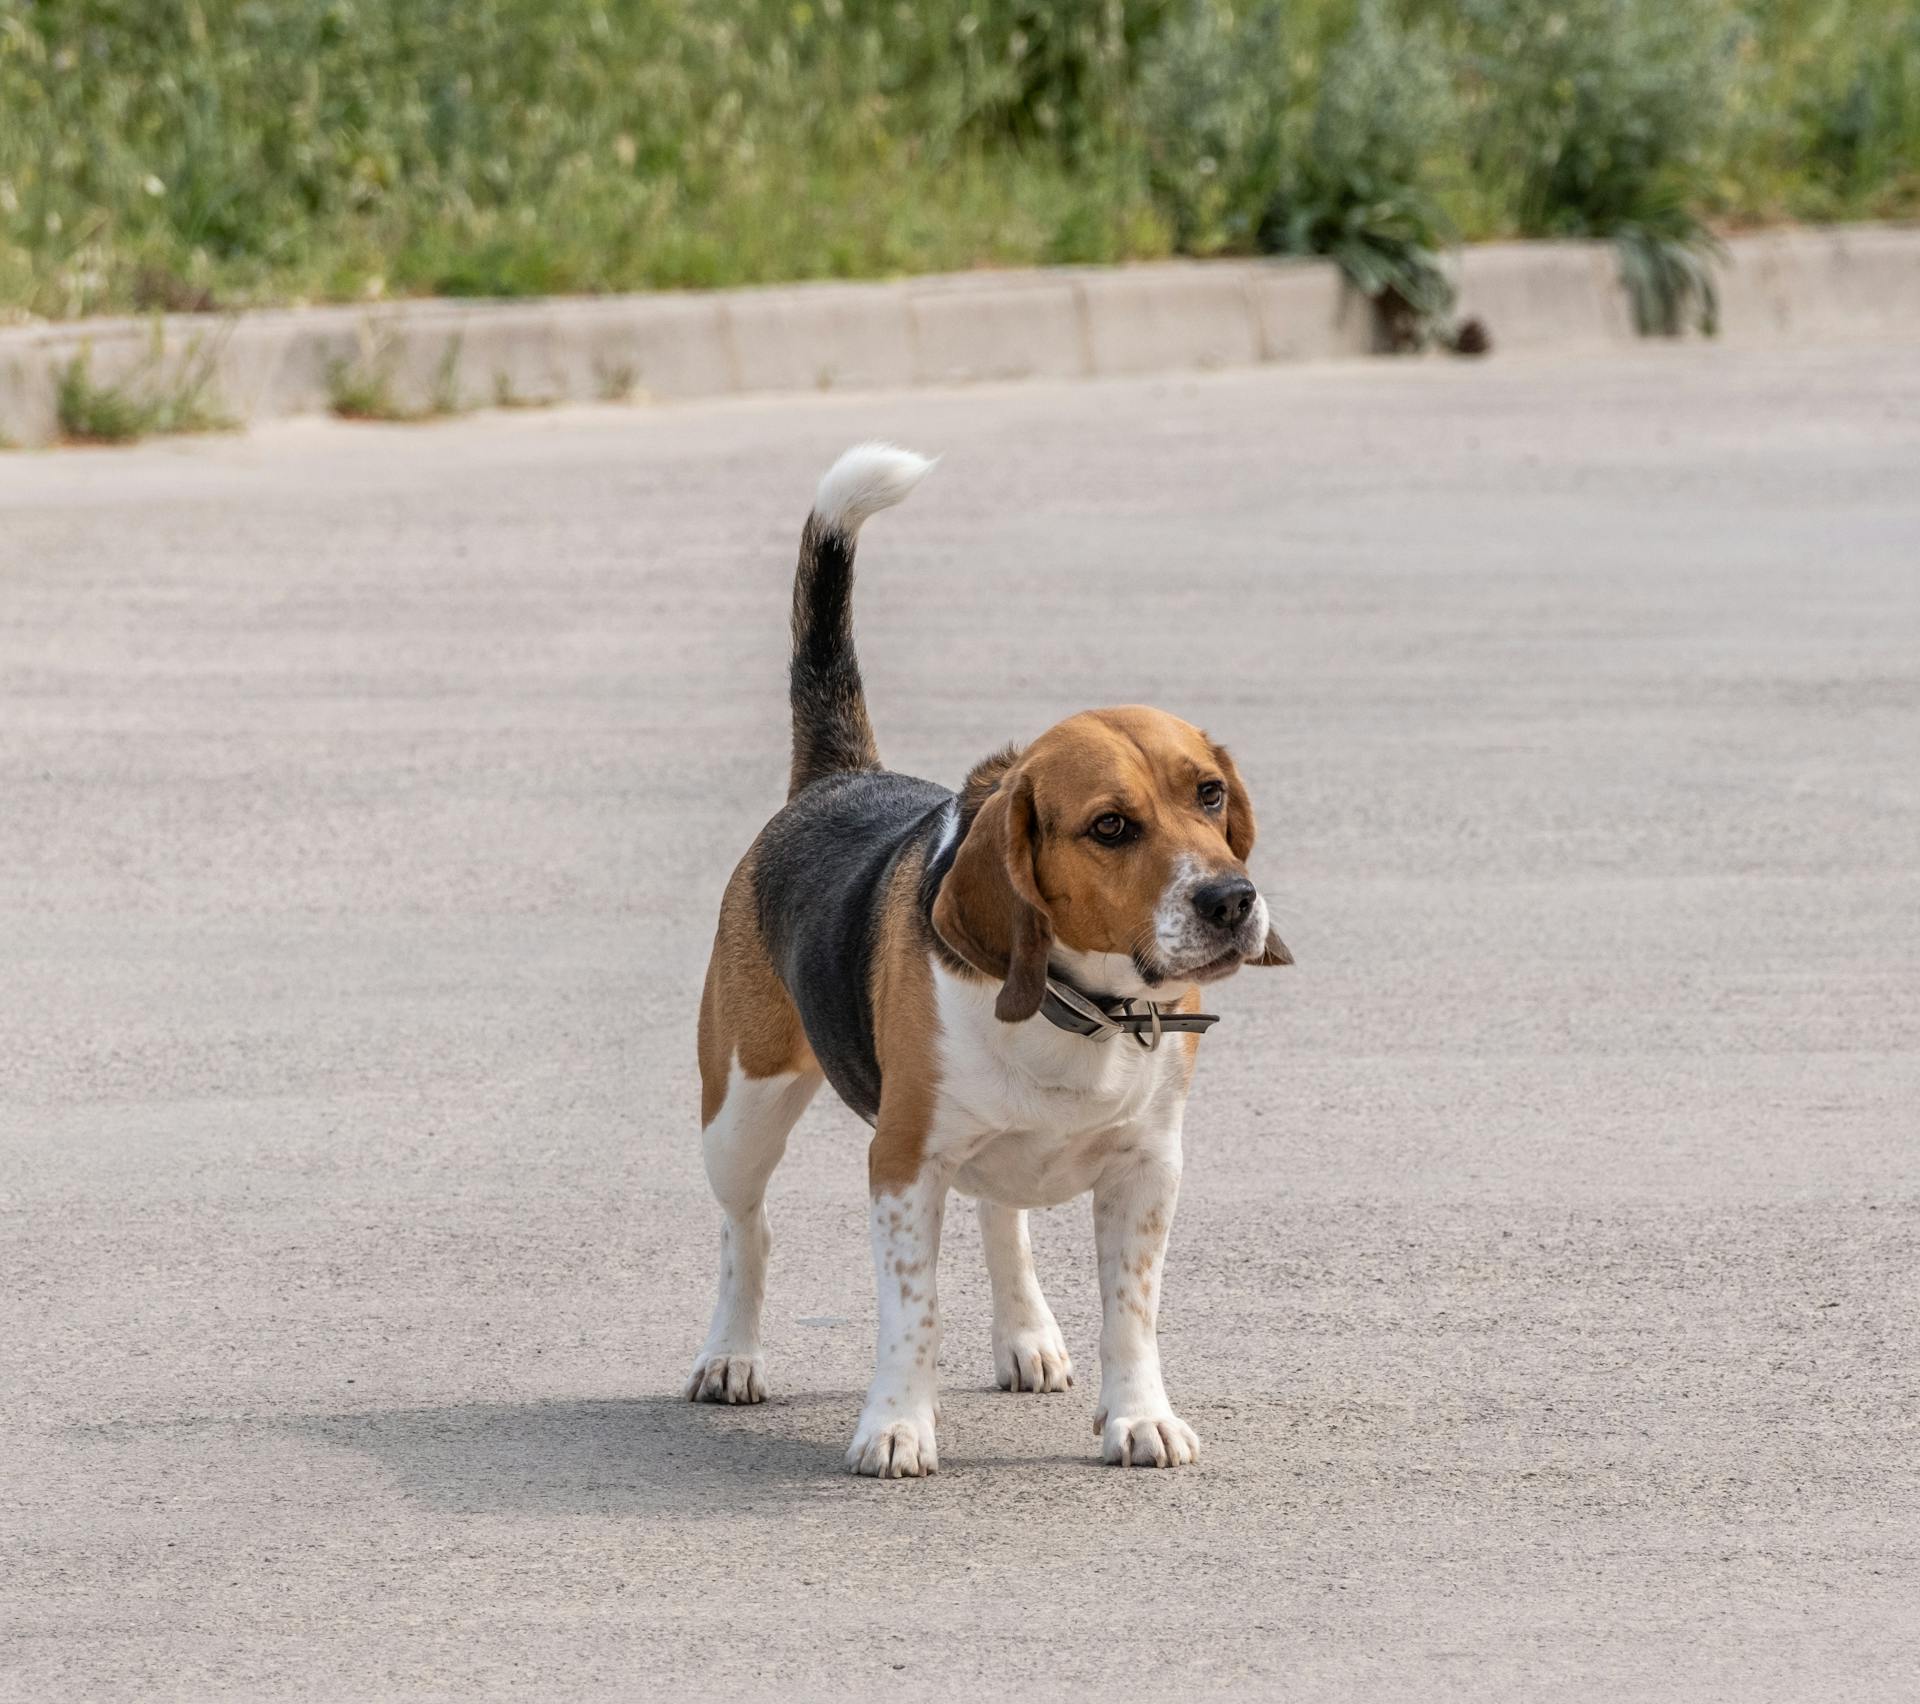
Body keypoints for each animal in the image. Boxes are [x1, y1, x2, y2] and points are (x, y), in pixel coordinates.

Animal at [691, 445, 1290, 1473]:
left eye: (1210, 794)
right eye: (1111, 826)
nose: (1231, 901)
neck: (1083, 1008)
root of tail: (841, 776)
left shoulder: (1149, 1169)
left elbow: (1130, 1310)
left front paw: (1139, 1415)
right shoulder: (901, 1164)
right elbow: (912, 1313)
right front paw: (896, 1425)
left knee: (1002, 1219)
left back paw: (1027, 1337)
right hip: (740, 1111)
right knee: (747, 1232)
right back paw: (732, 1355)